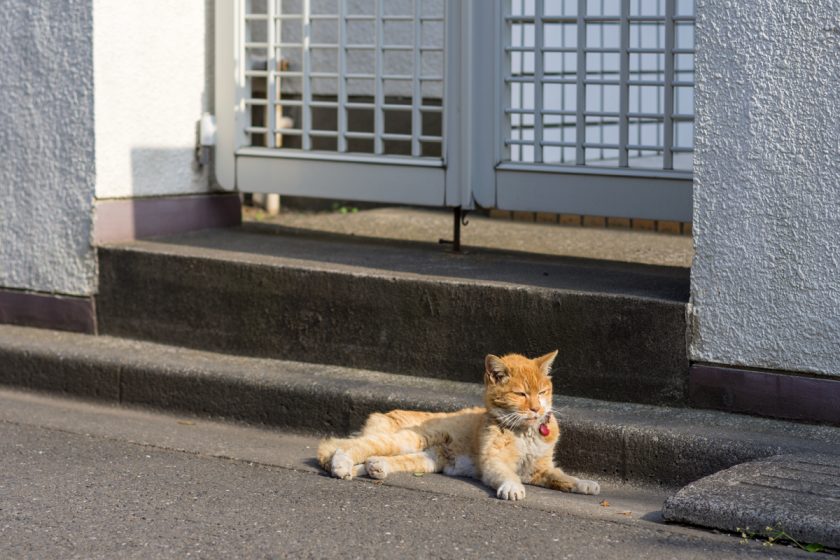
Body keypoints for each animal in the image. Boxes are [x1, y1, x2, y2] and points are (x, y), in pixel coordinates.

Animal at [316, 352, 596, 500]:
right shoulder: (494, 462)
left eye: (543, 392)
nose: (538, 409)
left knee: (374, 458)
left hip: (427, 458)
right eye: (521, 394)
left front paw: (584, 484)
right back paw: (341, 464)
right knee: (348, 446)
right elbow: (507, 474)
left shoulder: (539, 469)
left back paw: (374, 468)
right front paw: (513, 488)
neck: (524, 432)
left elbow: (561, 477)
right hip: (406, 440)